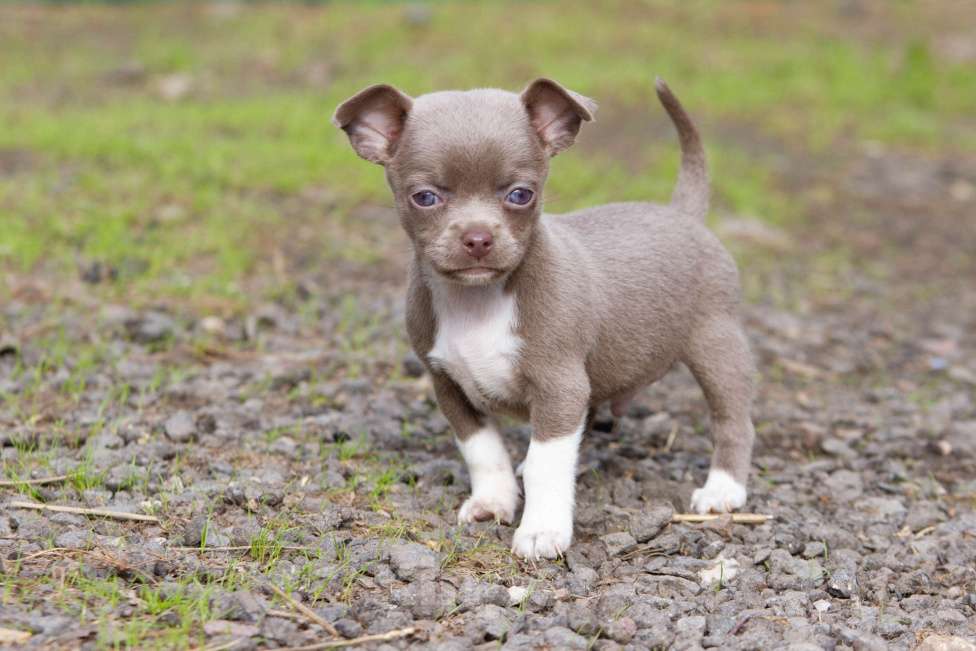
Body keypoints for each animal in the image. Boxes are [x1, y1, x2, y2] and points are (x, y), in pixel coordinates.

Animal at [334, 77, 756, 560]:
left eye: (521, 194)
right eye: (424, 198)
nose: (477, 237)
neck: (478, 303)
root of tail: (682, 214)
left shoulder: (559, 387)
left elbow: (545, 464)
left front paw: (542, 530)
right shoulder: (449, 386)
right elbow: (483, 451)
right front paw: (493, 501)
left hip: (717, 345)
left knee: (732, 420)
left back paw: (723, 489)